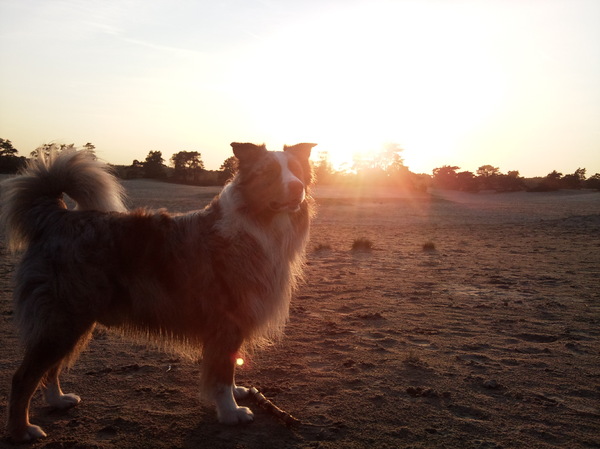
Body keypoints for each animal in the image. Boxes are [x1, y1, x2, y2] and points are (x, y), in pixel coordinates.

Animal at [0, 143, 316, 440]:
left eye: (297, 170)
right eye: (270, 172)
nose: (297, 187)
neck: (258, 224)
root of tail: (58, 217)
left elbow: (228, 370)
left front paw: (236, 393)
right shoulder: (226, 324)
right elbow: (221, 375)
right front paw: (230, 412)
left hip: (73, 321)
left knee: (50, 369)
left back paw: (58, 400)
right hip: (65, 319)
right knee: (23, 377)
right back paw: (21, 430)